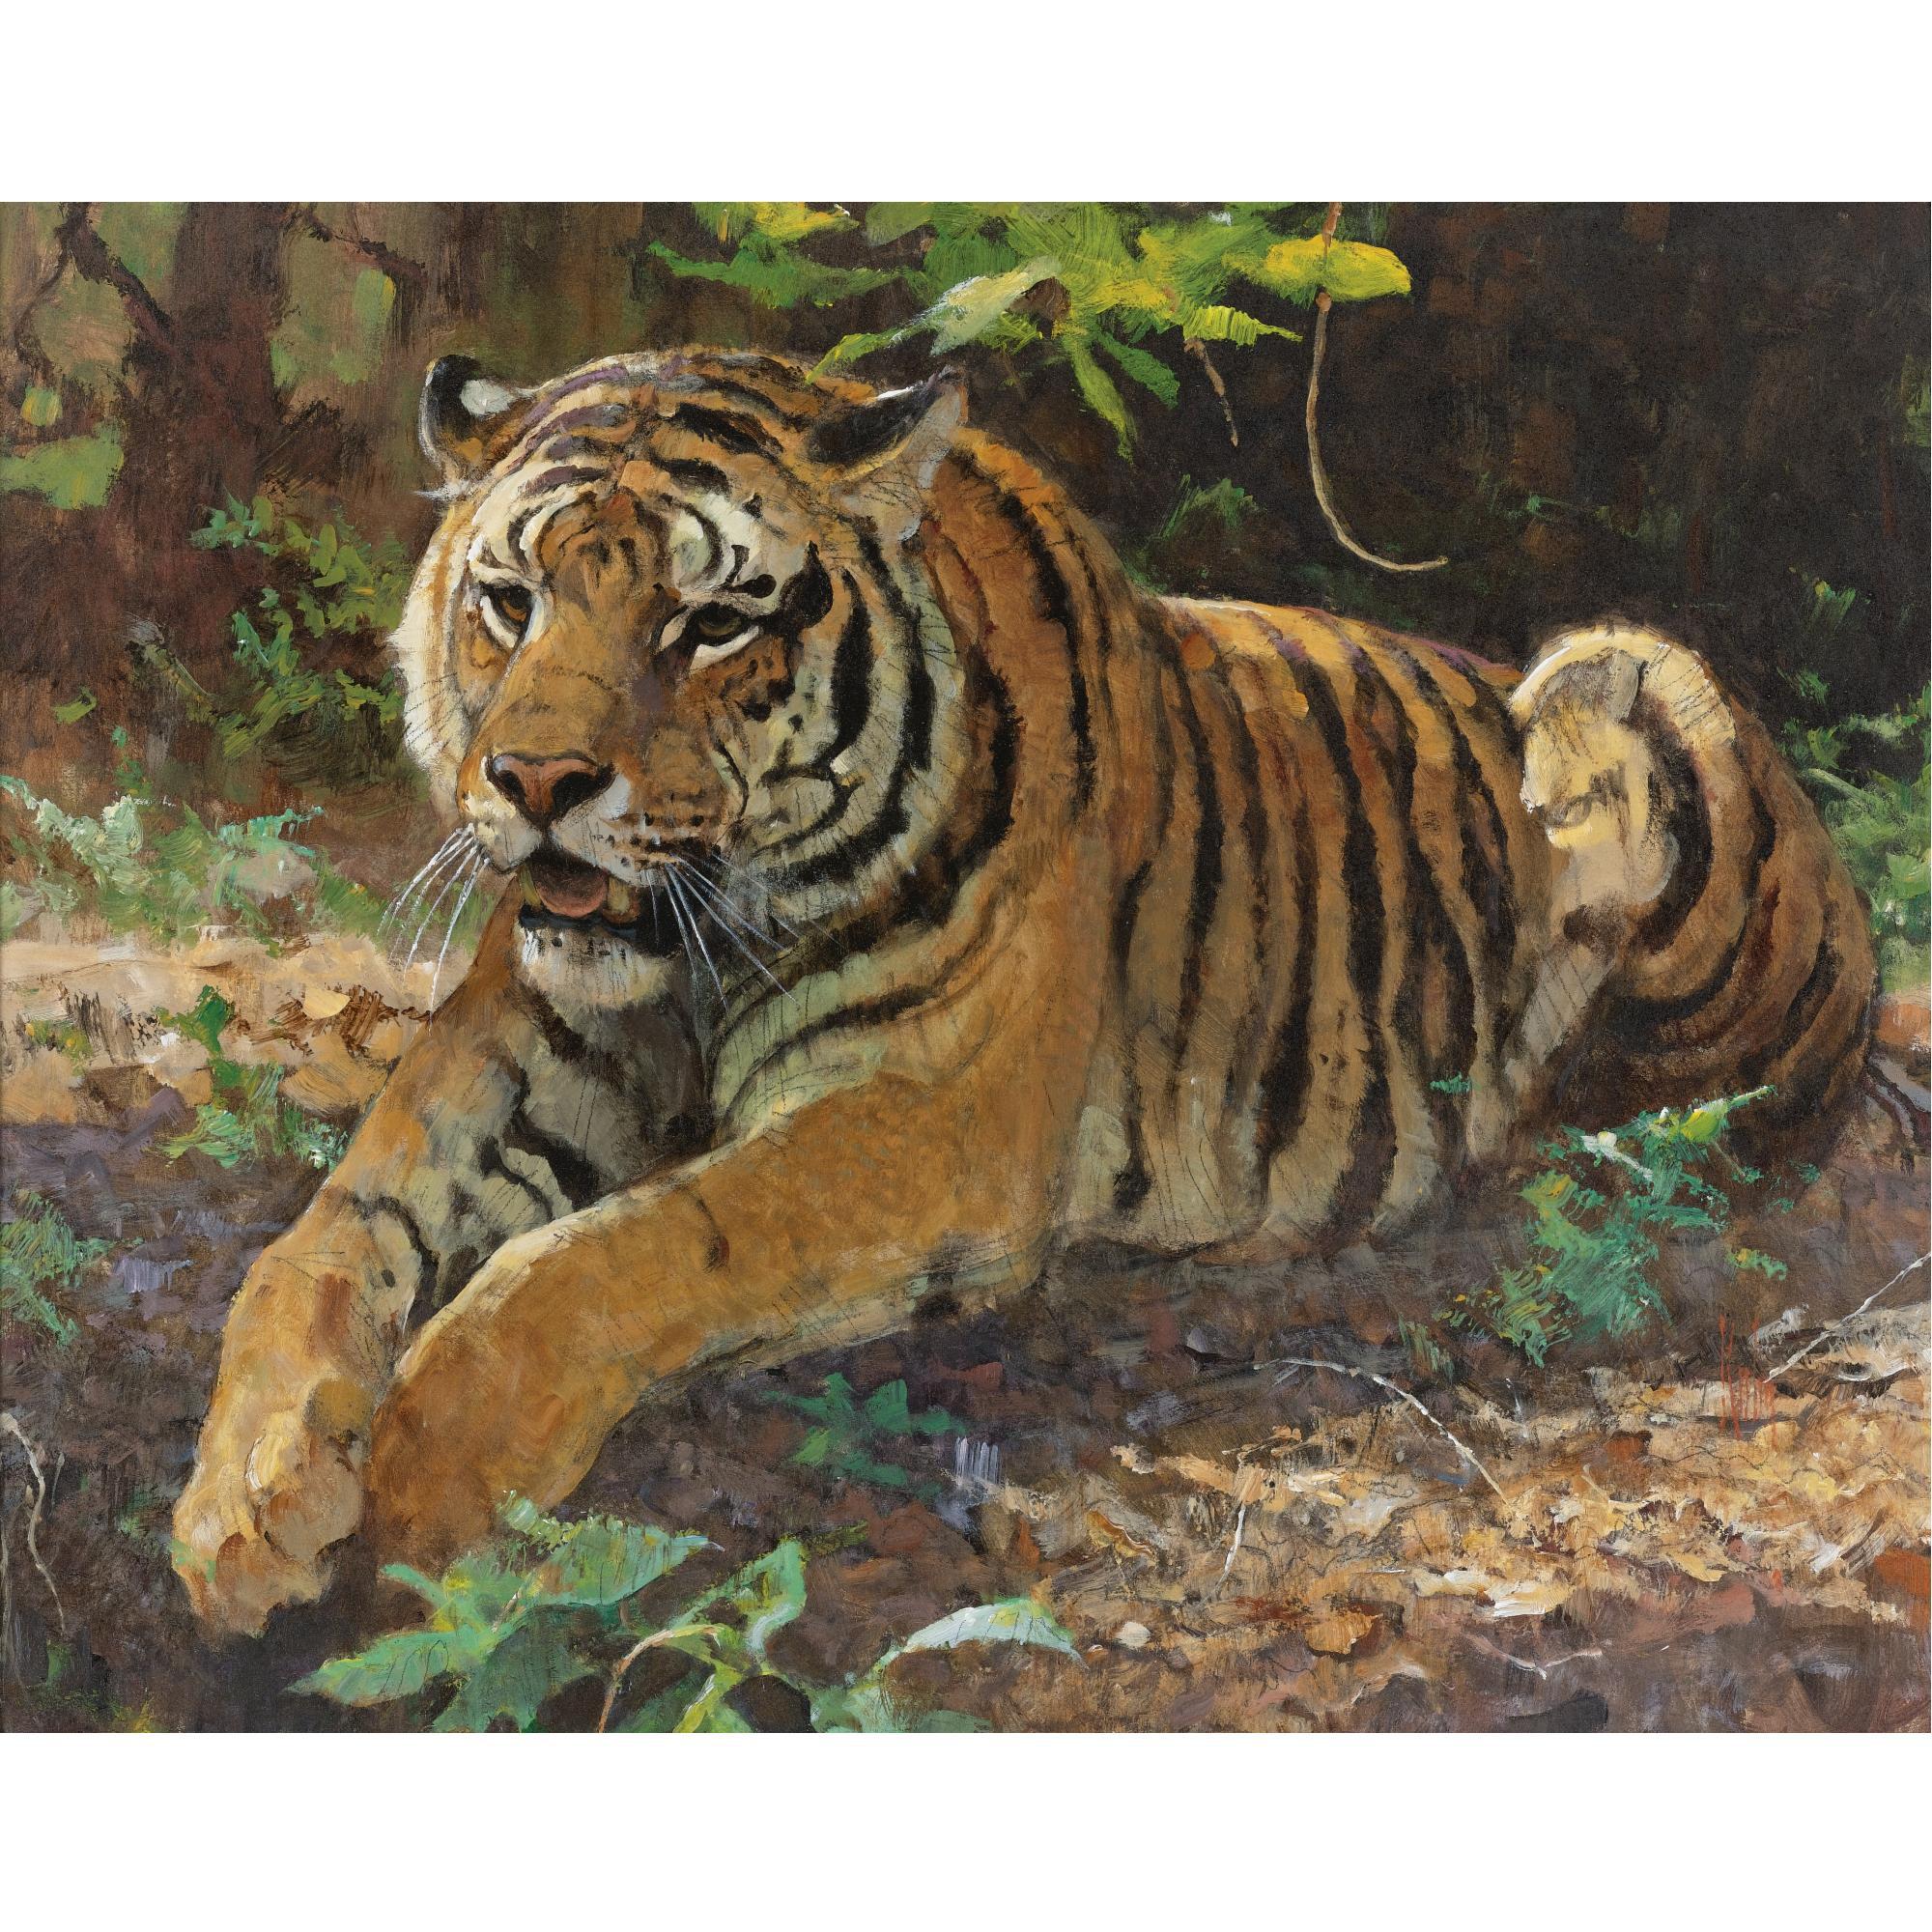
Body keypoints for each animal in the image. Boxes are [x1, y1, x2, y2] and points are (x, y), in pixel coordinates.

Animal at [172, 347, 1876, 1634]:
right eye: (511, 601)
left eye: (710, 621)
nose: (535, 784)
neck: (693, 958)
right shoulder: (511, 1065)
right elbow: (314, 1251)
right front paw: (246, 1502)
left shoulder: (932, 1121)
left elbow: (616, 1255)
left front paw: (421, 1482)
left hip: (1624, 679)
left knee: (1706, 1113)